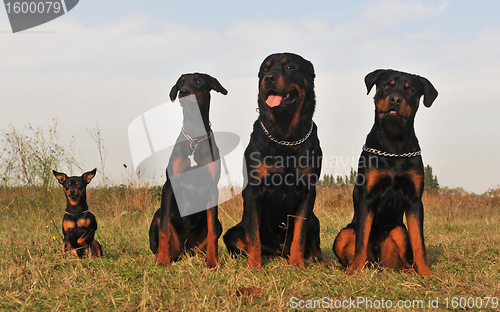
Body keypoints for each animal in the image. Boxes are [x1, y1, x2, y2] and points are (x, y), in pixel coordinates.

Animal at [148, 72, 227, 268]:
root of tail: (184, 250)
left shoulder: (212, 188)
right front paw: (162, 261)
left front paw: (212, 263)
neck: (195, 136)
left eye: (198, 81)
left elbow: (212, 231)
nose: (183, 92)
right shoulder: (169, 186)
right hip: (158, 216)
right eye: (181, 82)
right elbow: (164, 230)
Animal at [223, 52, 328, 266]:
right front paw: (254, 266)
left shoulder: (308, 190)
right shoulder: (254, 190)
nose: (269, 78)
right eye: (264, 69)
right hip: (232, 232)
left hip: (315, 219)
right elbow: (253, 234)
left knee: (314, 248)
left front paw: (297, 264)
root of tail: (279, 252)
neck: (285, 135)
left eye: (289, 67)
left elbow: (300, 233)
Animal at [334, 69, 436, 276]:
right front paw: (355, 270)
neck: (394, 145)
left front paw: (426, 272)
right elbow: (361, 241)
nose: (395, 99)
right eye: (387, 86)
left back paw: (410, 270)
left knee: (404, 259)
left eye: (411, 90)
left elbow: (419, 242)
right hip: (343, 233)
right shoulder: (367, 196)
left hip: (399, 232)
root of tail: (376, 263)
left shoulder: (414, 200)